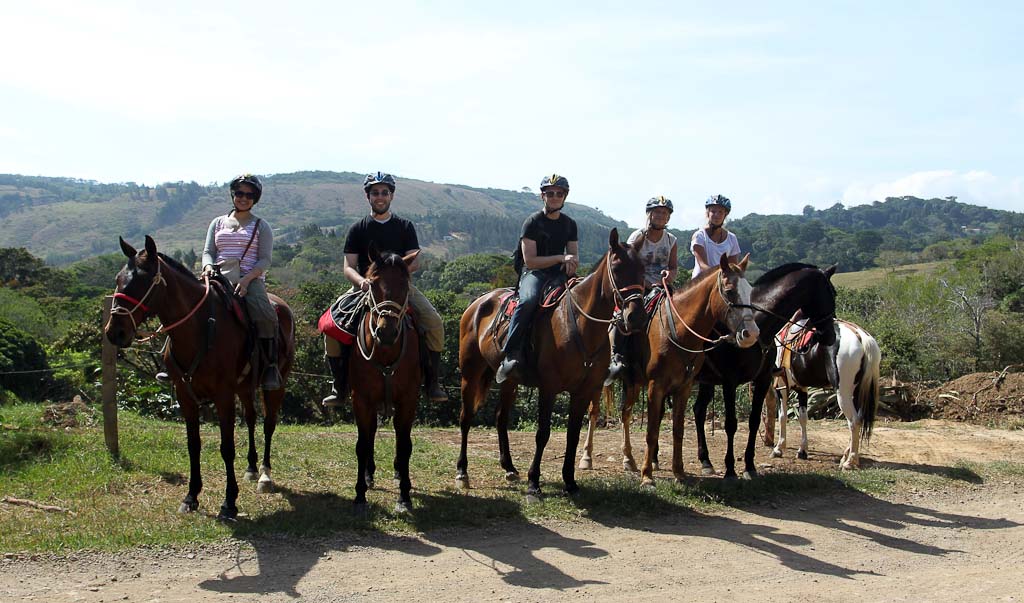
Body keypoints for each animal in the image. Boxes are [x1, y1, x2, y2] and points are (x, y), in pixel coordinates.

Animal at [104, 237, 294, 520]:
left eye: (143, 281)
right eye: (118, 279)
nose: (115, 331)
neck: (201, 327)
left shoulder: (223, 395)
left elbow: (227, 447)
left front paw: (229, 502)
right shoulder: (186, 395)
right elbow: (193, 445)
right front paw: (191, 496)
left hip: (275, 385)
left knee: (268, 424)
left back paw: (264, 476)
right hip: (243, 386)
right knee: (250, 418)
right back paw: (250, 468)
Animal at [348, 244, 419, 511]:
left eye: (405, 286)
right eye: (373, 284)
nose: (386, 332)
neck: (386, 352)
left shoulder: (408, 400)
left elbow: (405, 445)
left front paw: (404, 496)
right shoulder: (361, 400)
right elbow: (362, 444)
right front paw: (359, 494)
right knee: (369, 435)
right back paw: (369, 475)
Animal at [458, 228, 643, 495]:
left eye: (643, 268)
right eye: (617, 268)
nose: (637, 316)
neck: (580, 324)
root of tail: (478, 302)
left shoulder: (584, 391)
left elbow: (573, 435)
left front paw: (570, 481)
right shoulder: (549, 387)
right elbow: (542, 433)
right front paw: (534, 482)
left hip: (509, 380)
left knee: (501, 417)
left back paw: (509, 468)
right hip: (470, 374)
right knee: (465, 417)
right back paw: (462, 472)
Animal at [688, 261, 839, 477]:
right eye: (831, 293)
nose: (830, 336)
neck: (759, 325)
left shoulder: (762, 380)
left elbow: (753, 421)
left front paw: (749, 466)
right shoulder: (729, 382)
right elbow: (731, 424)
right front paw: (730, 469)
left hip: (706, 382)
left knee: (699, 411)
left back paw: (705, 461)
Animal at [770, 317, 880, 468]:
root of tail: (862, 337)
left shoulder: (781, 386)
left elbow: (782, 416)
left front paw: (779, 448)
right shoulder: (802, 388)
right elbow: (803, 417)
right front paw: (802, 451)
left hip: (843, 394)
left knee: (854, 421)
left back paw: (850, 461)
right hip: (857, 393)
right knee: (858, 418)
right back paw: (845, 455)